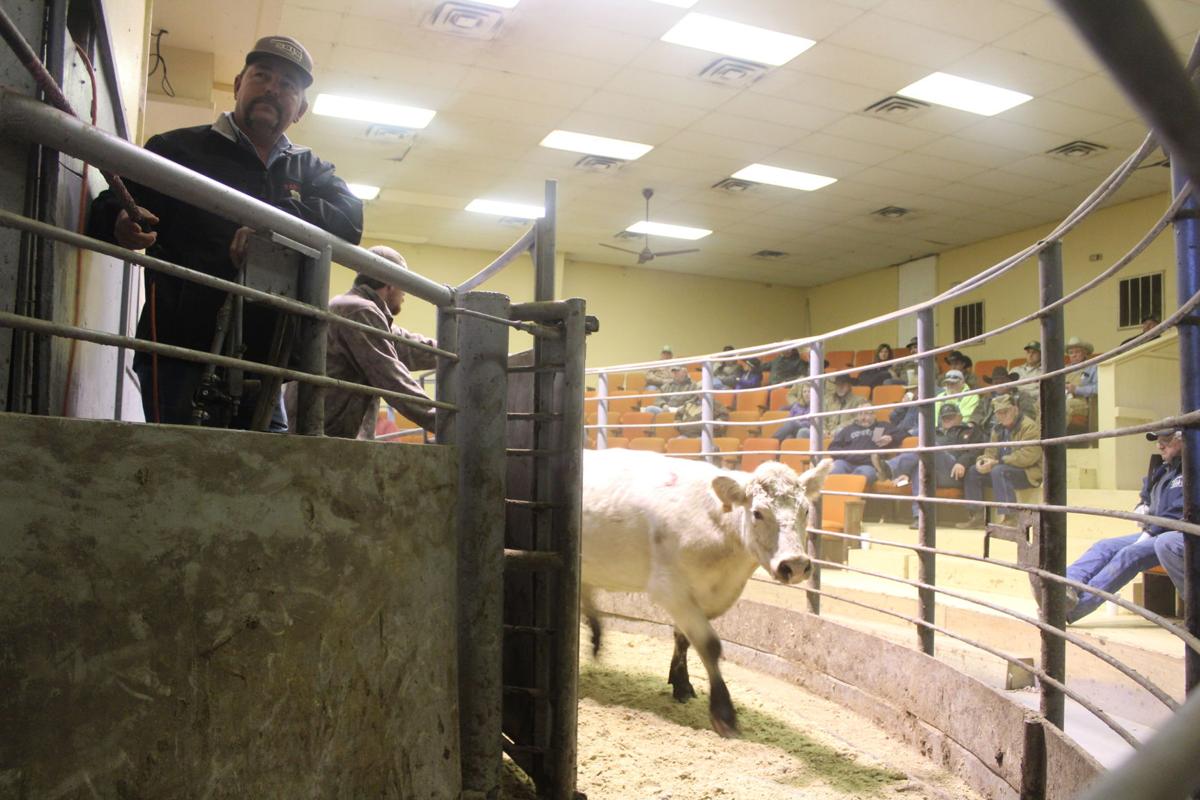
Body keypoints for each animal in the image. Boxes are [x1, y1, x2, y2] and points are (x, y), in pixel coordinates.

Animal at [583, 448, 835, 734]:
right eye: (758, 513)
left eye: (805, 509)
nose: (795, 565)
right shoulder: (670, 589)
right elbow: (709, 645)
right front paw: (723, 712)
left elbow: (682, 638)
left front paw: (681, 684)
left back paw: (596, 638)